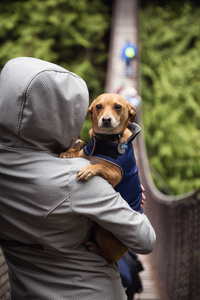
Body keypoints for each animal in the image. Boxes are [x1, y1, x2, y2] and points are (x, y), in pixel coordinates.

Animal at [60, 93, 143, 262]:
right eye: (98, 106)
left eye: (118, 106)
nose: (105, 119)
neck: (106, 141)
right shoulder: (84, 154)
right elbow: (76, 153)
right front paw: (67, 152)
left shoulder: (115, 175)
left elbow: (100, 166)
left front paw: (88, 170)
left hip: (102, 234)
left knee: (108, 257)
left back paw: (95, 248)